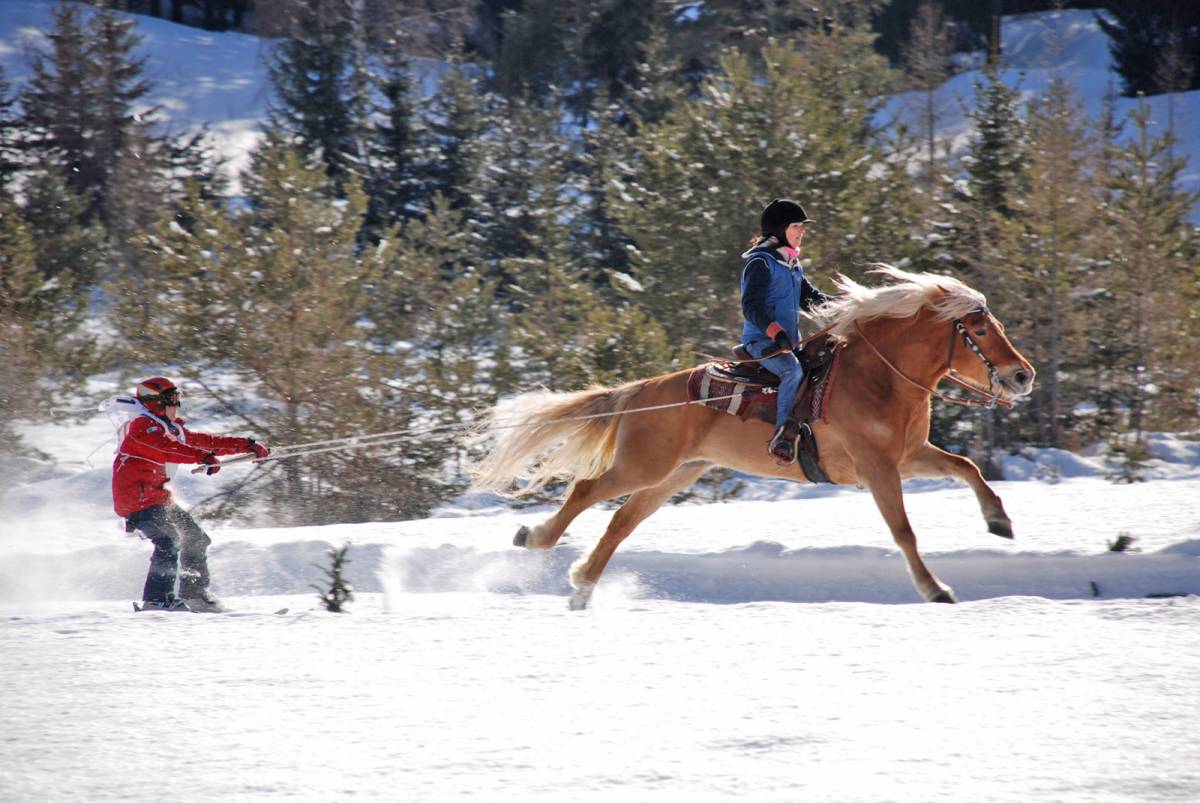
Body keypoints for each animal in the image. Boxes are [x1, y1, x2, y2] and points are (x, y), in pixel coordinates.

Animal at [472, 264, 1036, 607]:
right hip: (644, 466)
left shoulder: (909, 455)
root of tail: (640, 392)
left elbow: (968, 467)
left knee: (620, 524)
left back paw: (583, 588)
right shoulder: (876, 467)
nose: (1022, 375)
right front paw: (935, 589)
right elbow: (904, 531)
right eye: (979, 330)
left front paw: (1000, 522)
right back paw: (535, 540)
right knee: (587, 492)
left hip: (675, 475)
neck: (877, 377)